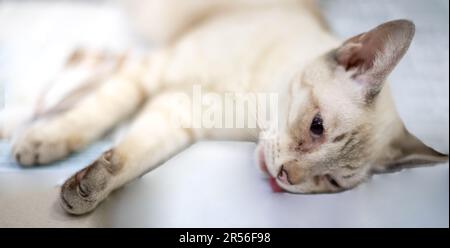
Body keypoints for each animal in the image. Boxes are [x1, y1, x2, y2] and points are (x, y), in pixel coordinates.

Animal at [4, 0, 450, 214]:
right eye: (317, 126)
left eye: (332, 182)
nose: (286, 176)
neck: (251, 102)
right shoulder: (150, 72)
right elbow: (96, 113)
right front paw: (44, 142)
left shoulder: (178, 112)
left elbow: (132, 159)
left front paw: (87, 189)